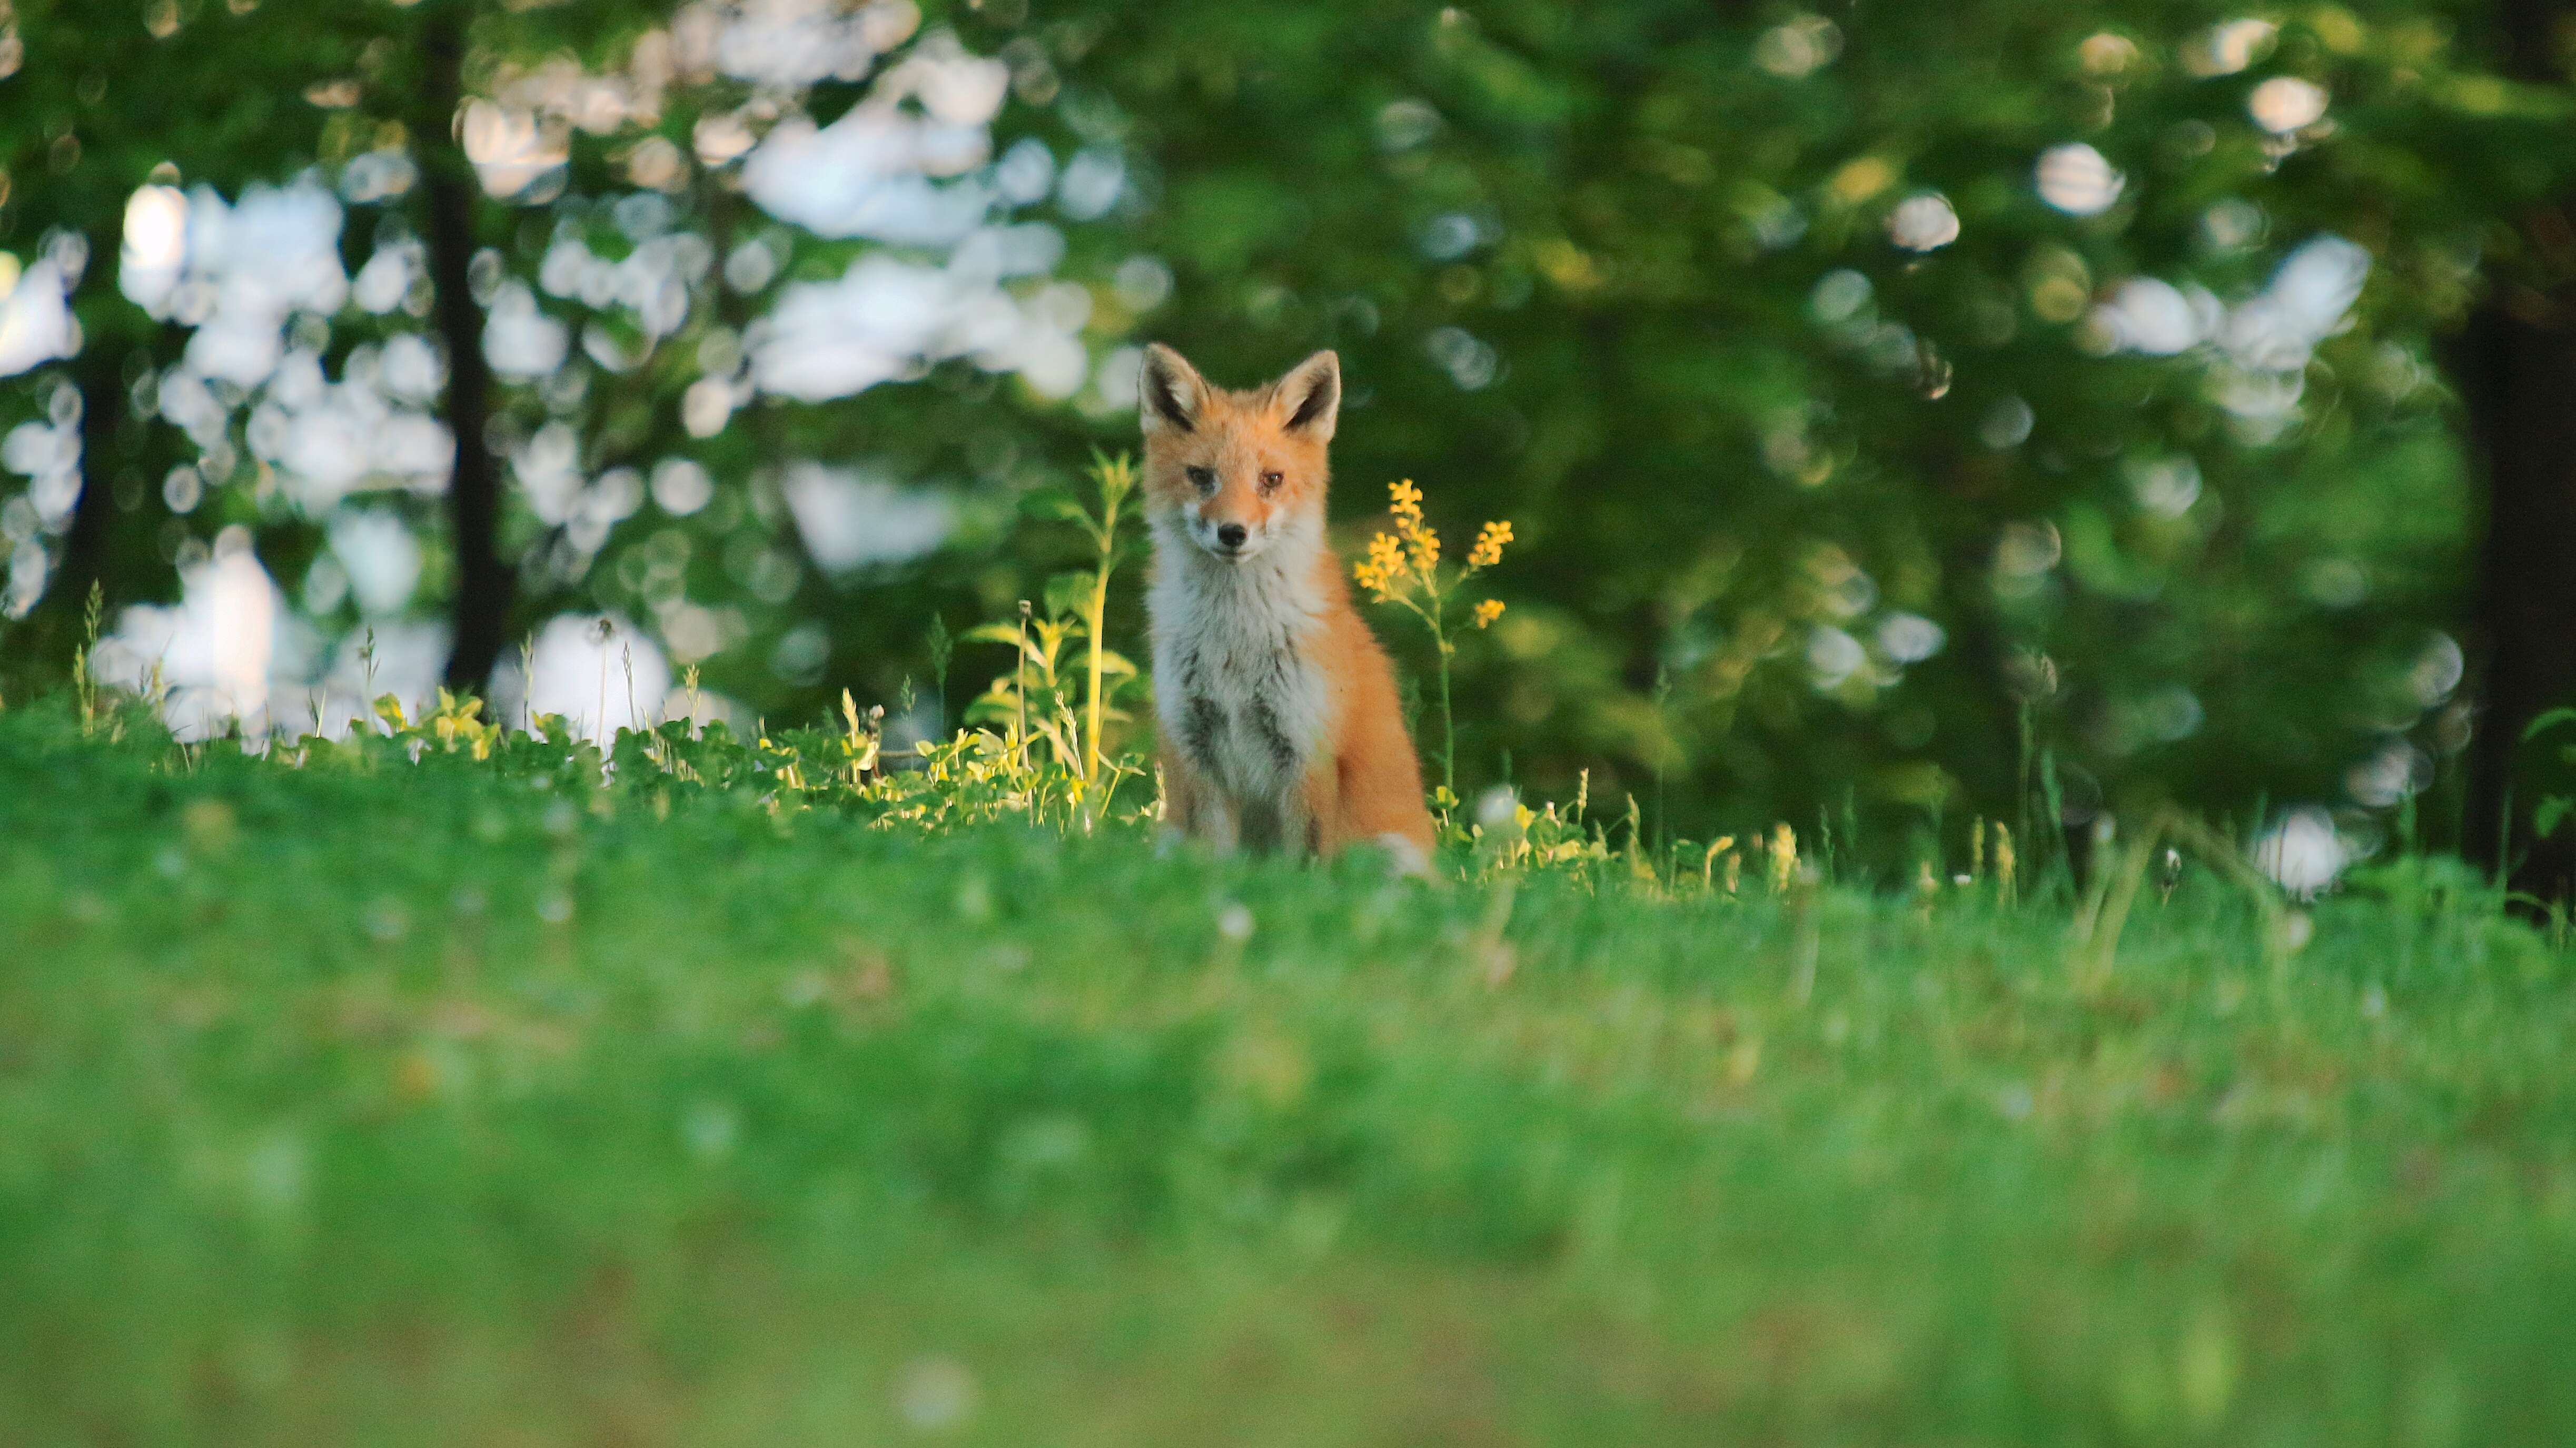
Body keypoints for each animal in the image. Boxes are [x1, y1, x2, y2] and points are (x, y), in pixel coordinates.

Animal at [1138, 348, 1442, 866]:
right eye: (1201, 477)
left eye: (1271, 480)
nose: (1233, 533)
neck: (1234, 645)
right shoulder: (1195, 748)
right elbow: (1213, 864)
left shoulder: (1306, 750)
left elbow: (1305, 864)